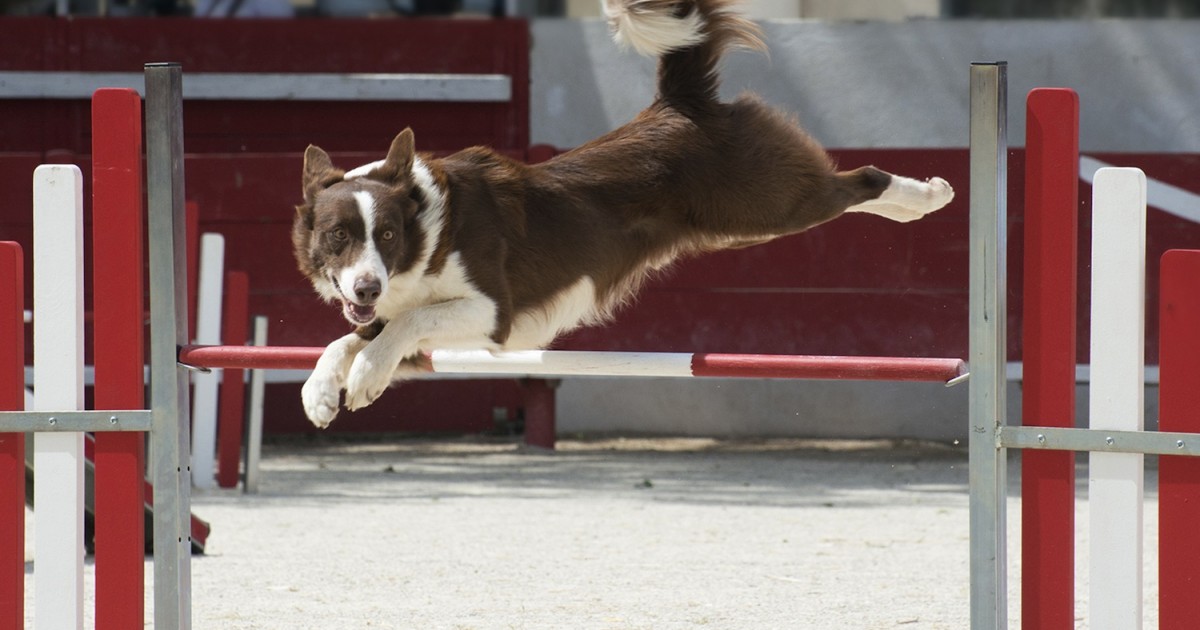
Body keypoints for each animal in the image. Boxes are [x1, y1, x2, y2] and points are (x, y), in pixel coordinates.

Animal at [290, 0, 955, 427]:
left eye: (387, 233)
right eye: (338, 236)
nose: (366, 286)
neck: (429, 230)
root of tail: (678, 103)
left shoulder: (493, 313)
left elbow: (403, 325)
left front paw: (366, 376)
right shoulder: (405, 321)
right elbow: (348, 339)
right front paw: (322, 392)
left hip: (766, 203)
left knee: (859, 181)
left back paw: (927, 197)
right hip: (742, 222)